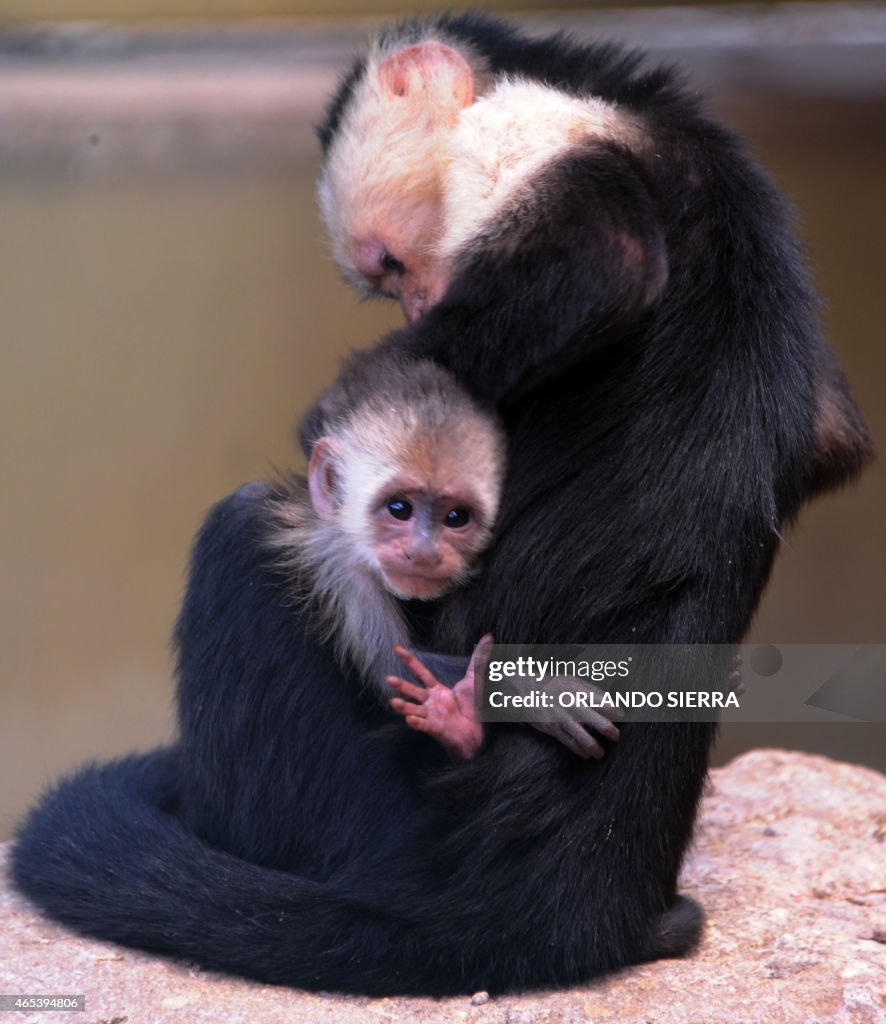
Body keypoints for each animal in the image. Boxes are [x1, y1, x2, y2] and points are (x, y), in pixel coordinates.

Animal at [13, 9, 872, 999]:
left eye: (391, 266)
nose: (419, 301)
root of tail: (576, 907)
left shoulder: (535, 129)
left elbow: (610, 265)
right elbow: (835, 439)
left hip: (364, 818)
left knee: (248, 531)